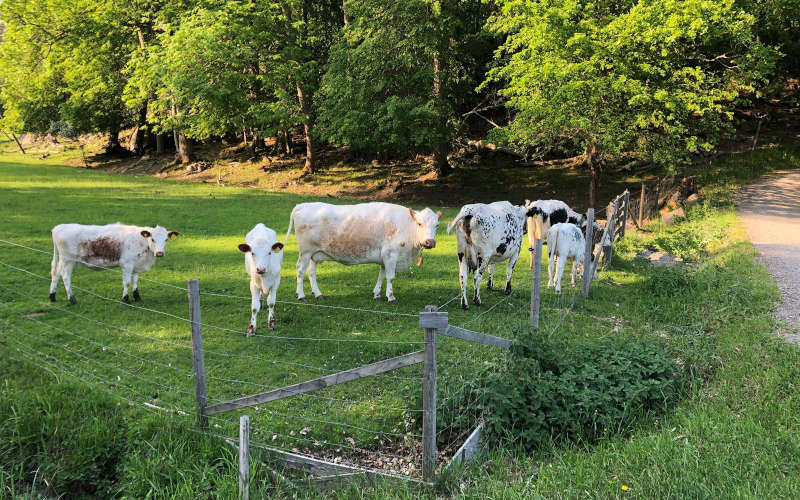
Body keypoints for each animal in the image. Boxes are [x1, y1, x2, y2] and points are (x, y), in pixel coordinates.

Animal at [48, 224, 178, 302]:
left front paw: (137, 296)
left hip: (62, 260)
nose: (160, 253)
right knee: (65, 277)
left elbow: (135, 281)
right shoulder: (127, 265)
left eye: (166, 239)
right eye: (152, 239)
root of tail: (59, 227)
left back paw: (52, 296)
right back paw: (72, 299)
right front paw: (126, 299)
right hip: (68, 260)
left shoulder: (136, 265)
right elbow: (126, 282)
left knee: (56, 274)